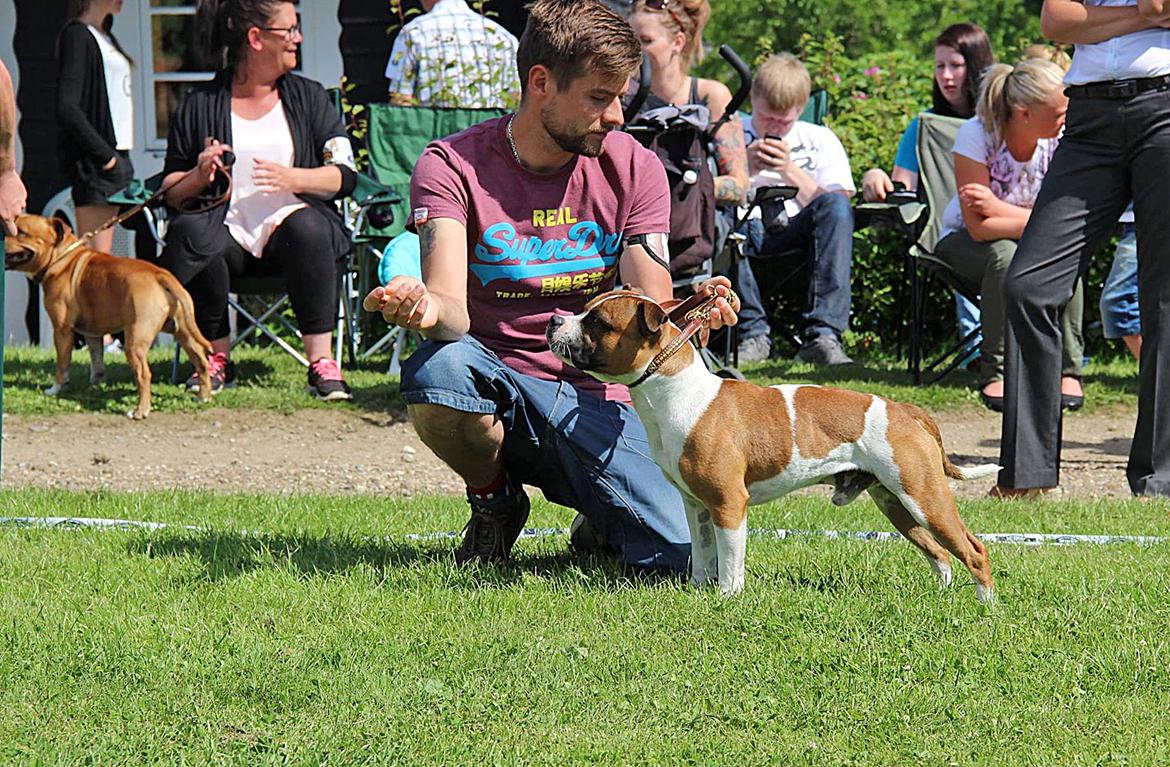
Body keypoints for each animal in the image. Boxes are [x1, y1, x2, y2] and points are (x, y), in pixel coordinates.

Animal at [5, 212, 212, 418]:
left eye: (21, 232)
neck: (62, 257)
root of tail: (160, 275)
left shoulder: (62, 330)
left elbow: (63, 363)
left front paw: (55, 389)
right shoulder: (92, 333)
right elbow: (97, 361)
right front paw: (94, 385)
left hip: (135, 340)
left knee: (144, 374)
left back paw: (140, 410)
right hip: (184, 333)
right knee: (201, 361)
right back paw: (203, 397)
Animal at [547, 287, 996, 598]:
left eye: (597, 322)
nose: (553, 320)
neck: (676, 392)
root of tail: (906, 410)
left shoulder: (729, 505)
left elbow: (730, 561)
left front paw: (727, 597)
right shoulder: (697, 506)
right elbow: (703, 554)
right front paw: (698, 590)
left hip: (924, 496)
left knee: (973, 549)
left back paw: (985, 607)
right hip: (898, 503)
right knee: (939, 552)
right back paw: (942, 594)